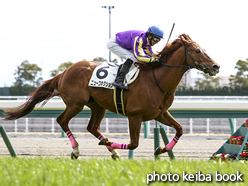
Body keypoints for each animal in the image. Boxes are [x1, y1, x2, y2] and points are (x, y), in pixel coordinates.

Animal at [4, 33, 220, 158]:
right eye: (197, 50)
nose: (215, 66)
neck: (157, 80)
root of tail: (65, 72)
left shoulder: (160, 114)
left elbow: (180, 129)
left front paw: (161, 150)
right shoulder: (135, 115)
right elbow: (134, 143)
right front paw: (110, 143)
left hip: (98, 106)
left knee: (92, 127)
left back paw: (111, 149)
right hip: (76, 104)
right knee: (62, 120)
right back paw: (78, 149)